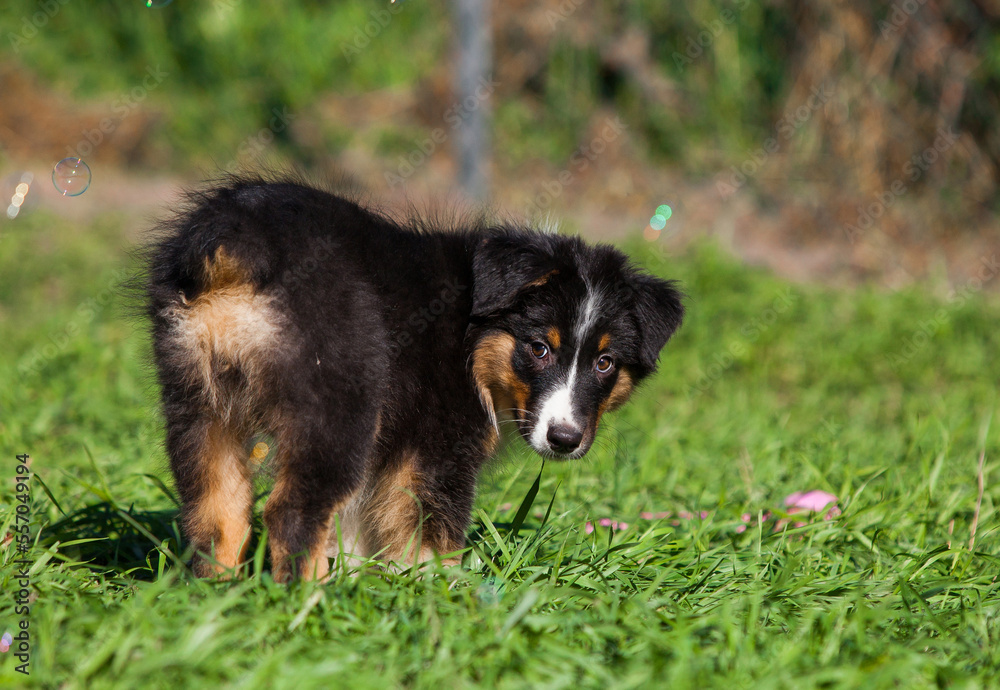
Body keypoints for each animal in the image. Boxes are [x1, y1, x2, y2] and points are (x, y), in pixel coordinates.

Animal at [145, 179, 684, 580]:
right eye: (538, 348)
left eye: (604, 363)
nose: (564, 439)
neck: (472, 335)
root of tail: (237, 234)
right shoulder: (437, 449)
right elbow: (430, 536)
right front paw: (437, 598)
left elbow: (361, 526)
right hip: (341, 403)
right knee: (292, 513)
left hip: (198, 402)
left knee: (217, 514)